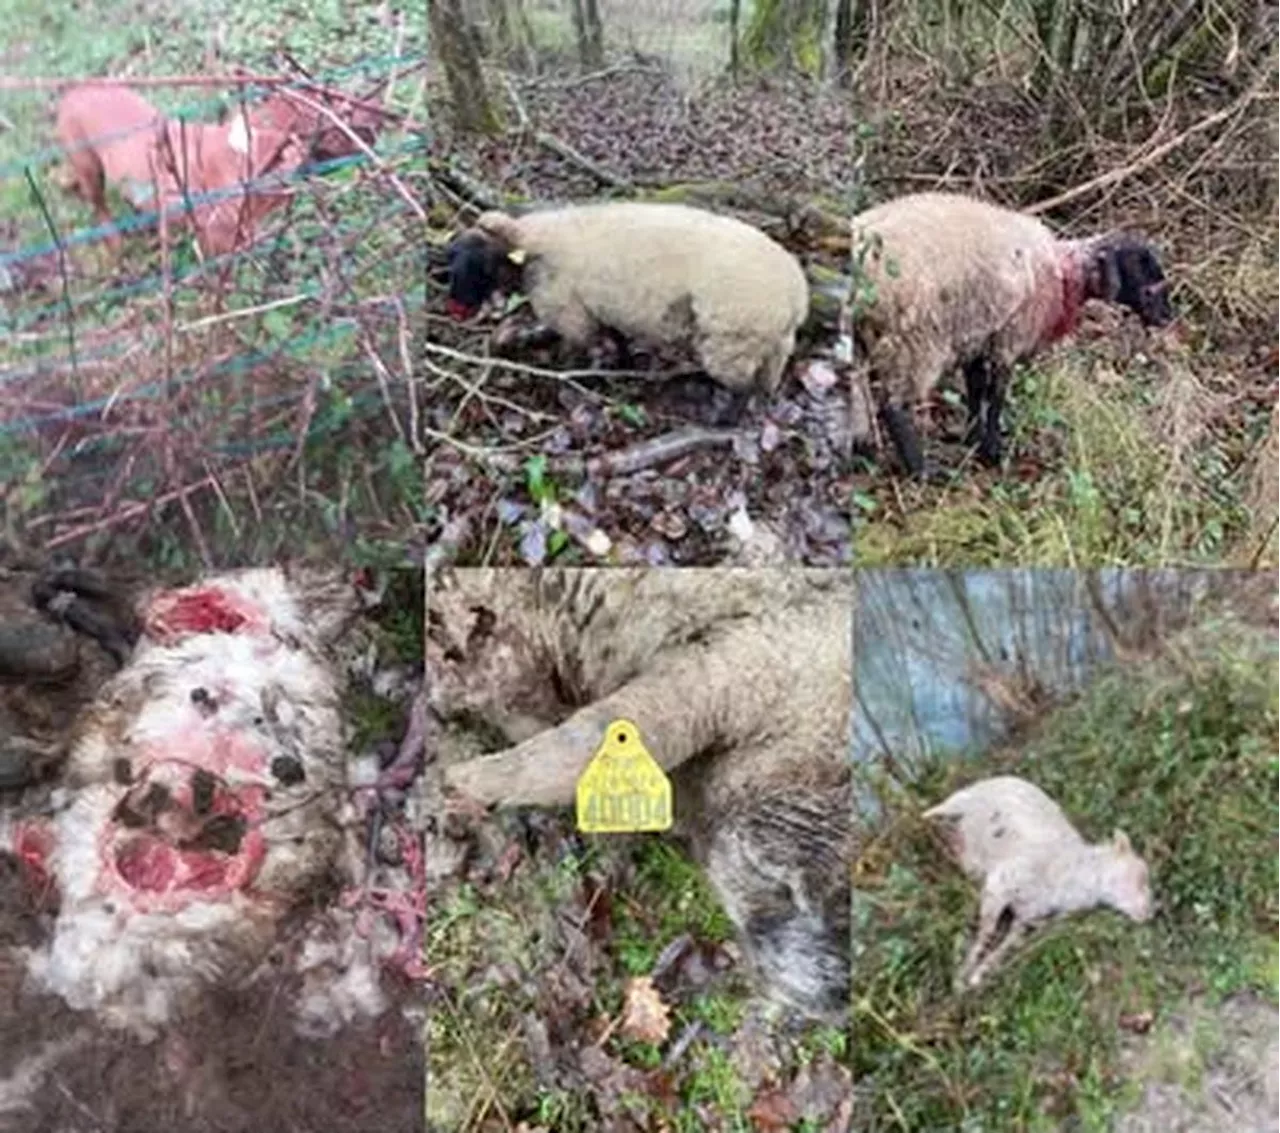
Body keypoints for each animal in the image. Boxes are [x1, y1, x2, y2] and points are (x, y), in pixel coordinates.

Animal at [445, 200, 803, 422]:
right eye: (452, 258)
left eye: (480, 265)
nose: (455, 309)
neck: (533, 249)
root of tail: (794, 292)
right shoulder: (605, 311)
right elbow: (617, 340)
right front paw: (621, 366)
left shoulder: (570, 314)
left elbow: (570, 356)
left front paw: (567, 389)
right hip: (770, 343)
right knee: (766, 379)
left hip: (731, 341)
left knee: (740, 387)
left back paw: (721, 420)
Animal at [839, 192, 1172, 476]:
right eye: (1145, 278)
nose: (1168, 317)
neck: (1064, 276)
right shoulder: (1010, 338)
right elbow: (997, 393)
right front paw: (993, 451)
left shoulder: (978, 336)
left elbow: (975, 387)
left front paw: (973, 438)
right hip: (914, 340)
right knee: (893, 405)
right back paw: (922, 470)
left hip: (860, 336)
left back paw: (862, 450)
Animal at [921, 773, 1152, 988]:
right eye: (1141, 876)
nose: (1151, 913)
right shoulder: (1001, 883)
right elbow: (987, 931)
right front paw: (962, 974)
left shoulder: (1028, 918)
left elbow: (1006, 946)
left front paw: (978, 974)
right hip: (960, 800)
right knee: (936, 810)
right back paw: (927, 822)